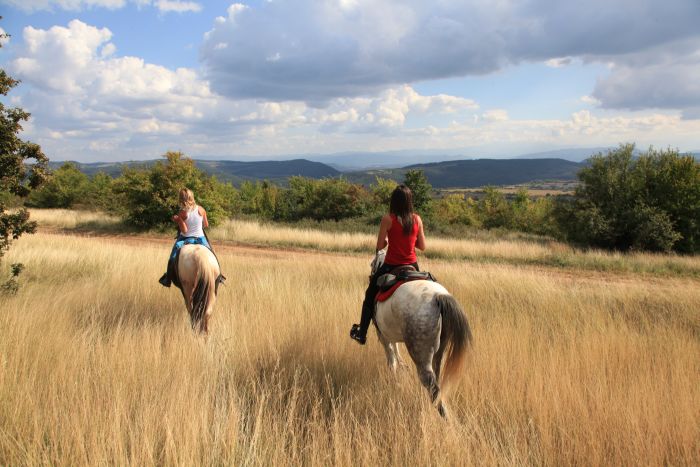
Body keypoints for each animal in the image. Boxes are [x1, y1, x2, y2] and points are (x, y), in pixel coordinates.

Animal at [372, 270, 470, 420]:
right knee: (437, 377)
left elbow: (391, 359)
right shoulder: (390, 335)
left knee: (432, 388)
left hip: (421, 355)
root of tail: (438, 297)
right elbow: (395, 351)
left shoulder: (383, 336)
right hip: (439, 351)